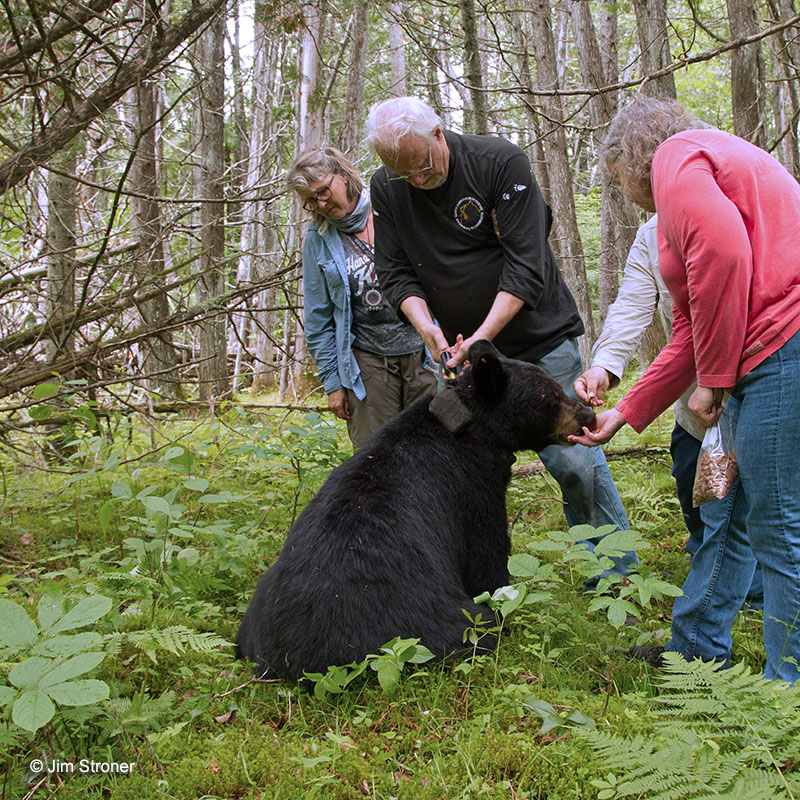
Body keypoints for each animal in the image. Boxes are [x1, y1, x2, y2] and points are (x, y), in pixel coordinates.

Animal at [234, 340, 596, 680]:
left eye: (555, 386)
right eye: (550, 397)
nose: (589, 415)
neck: (468, 426)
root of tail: (294, 664)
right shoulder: (472, 492)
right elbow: (487, 557)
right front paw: (504, 596)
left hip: (254, 609)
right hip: (424, 623)